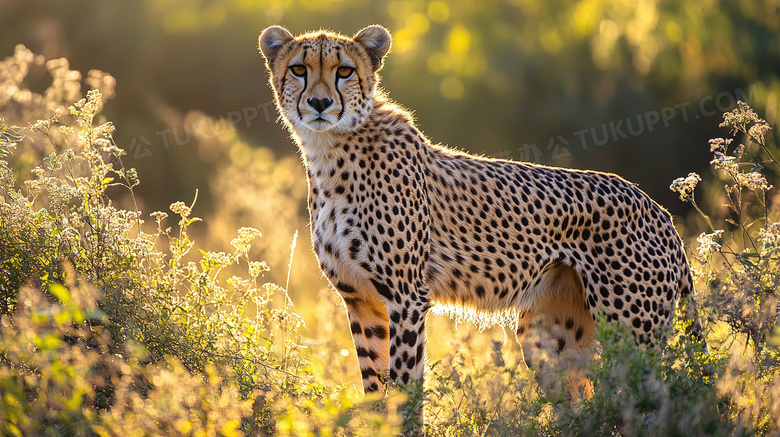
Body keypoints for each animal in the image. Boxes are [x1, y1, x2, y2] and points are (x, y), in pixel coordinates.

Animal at [258, 24, 700, 402]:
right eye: (299, 69)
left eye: (345, 71)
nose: (319, 103)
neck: (329, 151)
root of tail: (658, 209)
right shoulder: (362, 301)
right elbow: (376, 390)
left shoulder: (406, 297)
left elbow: (406, 389)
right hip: (551, 336)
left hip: (632, 328)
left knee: (662, 396)